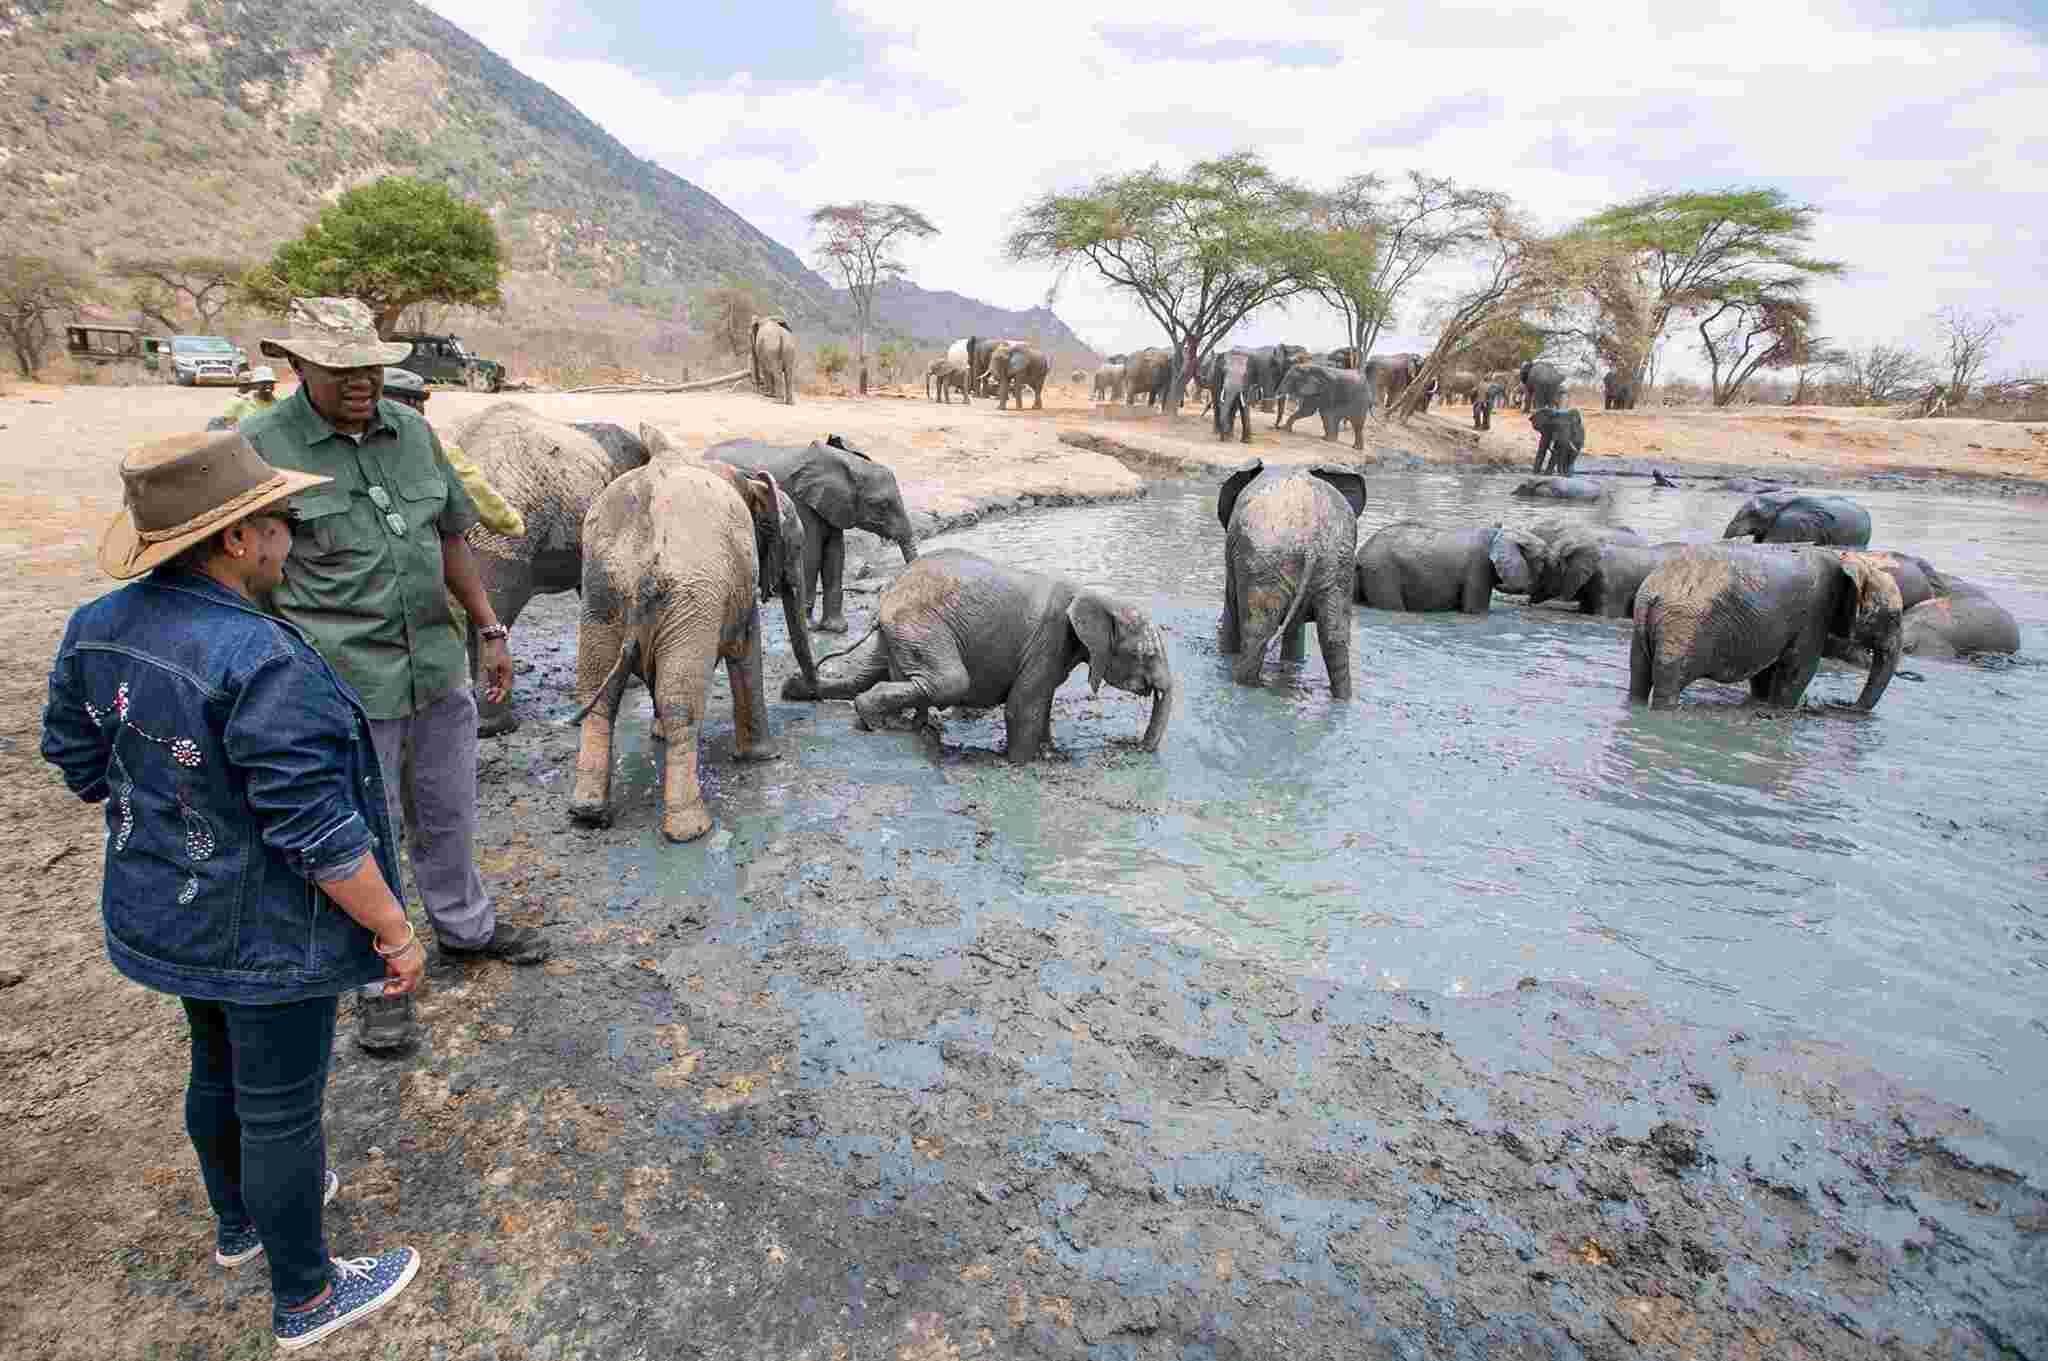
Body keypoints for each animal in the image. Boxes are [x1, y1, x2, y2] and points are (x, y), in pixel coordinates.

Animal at [568, 459, 818, 842]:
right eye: (799, 546)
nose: (806, 691)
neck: (745, 478)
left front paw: (656, 735)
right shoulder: (740, 582)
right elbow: (745, 648)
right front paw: (763, 758)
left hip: (600, 590)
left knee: (597, 693)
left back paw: (588, 814)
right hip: (689, 595)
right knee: (680, 704)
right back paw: (691, 829)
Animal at [705, 433, 919, 634]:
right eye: (881, 505)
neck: (845, 464)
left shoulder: (833, 506)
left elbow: (835, 554)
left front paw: (836, 628)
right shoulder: (802, 503)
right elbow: (812, 554)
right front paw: (810, 626)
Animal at [780, 548, 1173, 761]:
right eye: (1147, 653)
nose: (1137, 748)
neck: (1096, 595)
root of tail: (888, 595)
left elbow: (1041, 704)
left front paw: (1050, 755)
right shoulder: (1048, 639)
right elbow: (1024, 708)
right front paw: (1020, 766)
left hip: (900, 633)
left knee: (869, 675)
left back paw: (797, 690)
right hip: (922, 626)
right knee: (949, 682)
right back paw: (878, 721)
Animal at [1216, 460, 1369, 698]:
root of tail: (1312, 540)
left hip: (1265, 563)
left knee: (1256, 634)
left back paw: (1246, 686)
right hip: (1337, 566)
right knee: (1335, 640)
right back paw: (1342, 698)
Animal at [1630, 545, 1903, 710]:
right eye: (1894, 617)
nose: (1843, 705)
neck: (1847, 559)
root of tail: (1654, 590)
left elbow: (1768, 670)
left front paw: (1760, 706)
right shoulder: (1816, 614)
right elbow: (1799, 670)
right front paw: (1781, 711)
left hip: (1649, 625)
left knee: (1639, 675)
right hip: (1683, 627)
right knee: (1668, 684)